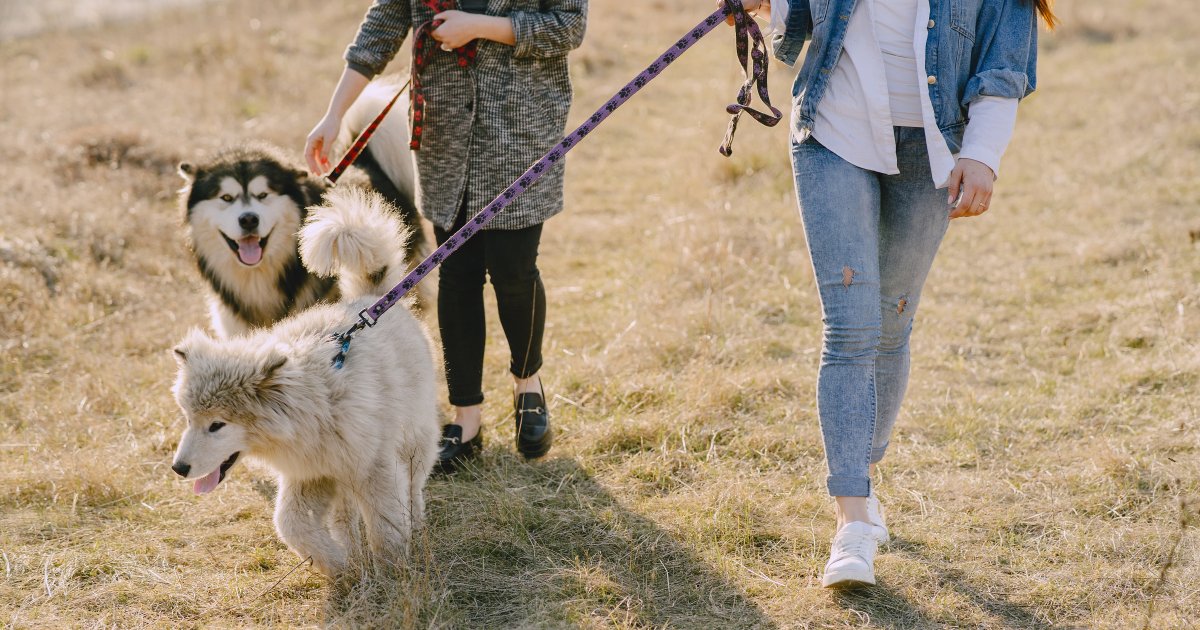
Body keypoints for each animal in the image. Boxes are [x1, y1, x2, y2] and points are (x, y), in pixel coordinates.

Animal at [166, 187, 434, 573]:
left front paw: (392, 572)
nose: (179, 468)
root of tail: (372, 300)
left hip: (415, 439)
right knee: (344, 516)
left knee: (413, 488)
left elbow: (386, 526)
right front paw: (339, 566)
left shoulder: (374, 467)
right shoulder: (312, 473)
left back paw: (416, 523)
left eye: (217, 425)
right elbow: (289, 524)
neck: (316, 404)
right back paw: (350, 547)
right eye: (189, 420)